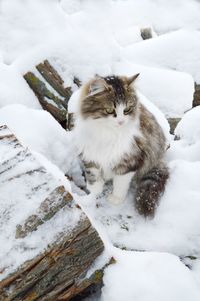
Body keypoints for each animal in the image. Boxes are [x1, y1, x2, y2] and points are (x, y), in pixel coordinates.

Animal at [73, 74, 169, 216]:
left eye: (127, 110)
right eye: (109, 110)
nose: (121, 122)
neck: (107, 133)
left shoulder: (129, 160)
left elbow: (120, 183)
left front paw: (116, 199)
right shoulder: (90, 155)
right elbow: (93, 176)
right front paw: (94, 193)